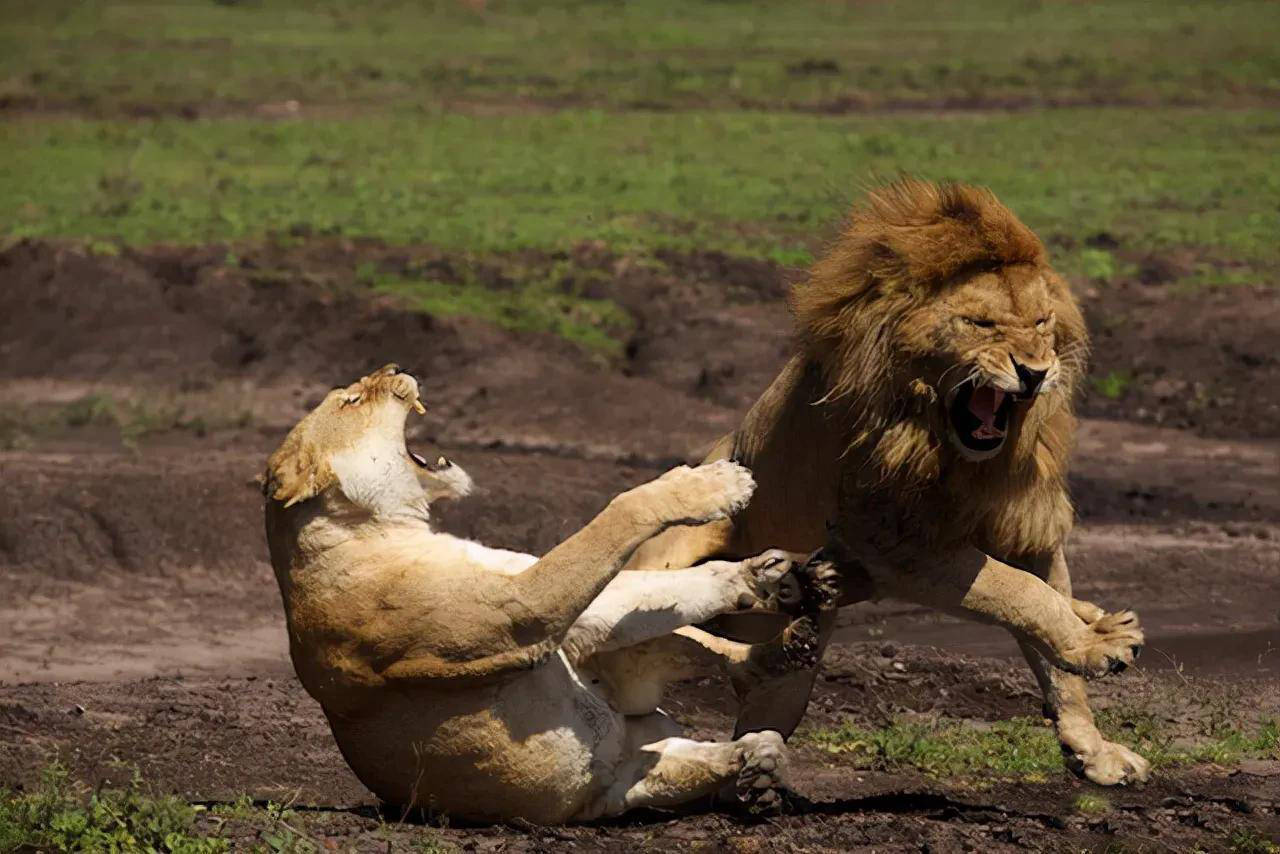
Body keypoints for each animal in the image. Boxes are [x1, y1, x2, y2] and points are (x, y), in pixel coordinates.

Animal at [268, 363, 829, 824]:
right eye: (351, 402)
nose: (393, 366)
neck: (390, 528)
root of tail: (617, 749)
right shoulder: (524, 614)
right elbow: (623, 511)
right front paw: (715, 485)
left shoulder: (547, 601)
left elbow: (656, 583)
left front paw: (749, 575)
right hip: (627, 779)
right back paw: (755, 761)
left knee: (711, 654)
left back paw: (781, 651)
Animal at [629, 180, 1152, 788]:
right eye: (981, 324)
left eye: (1043, 322)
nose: (1035, 372)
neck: (954, 448)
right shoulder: (894, 542)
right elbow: (1018, 593)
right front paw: (1098, 646)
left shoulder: (1024, 525)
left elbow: (1049, 625)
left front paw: (1095, 747)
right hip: (672, 558)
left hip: (791, 675)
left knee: (766, 698)